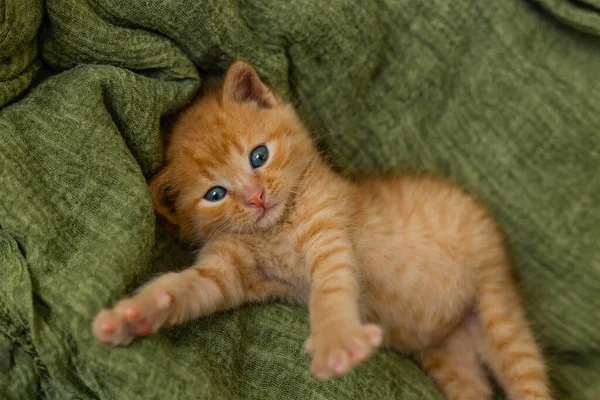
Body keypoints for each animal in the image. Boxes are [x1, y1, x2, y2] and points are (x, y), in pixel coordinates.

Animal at [91, 60, 552, 400]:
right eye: (216, 194)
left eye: (258, 156)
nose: (256, 198)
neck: (275, 229)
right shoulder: (227, 272)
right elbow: (184, 287)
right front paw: (134, 314)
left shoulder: (330, 231)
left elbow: (330, 290)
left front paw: (336, 341)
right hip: (446, 354)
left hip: (495, 301)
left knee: (525, 372)